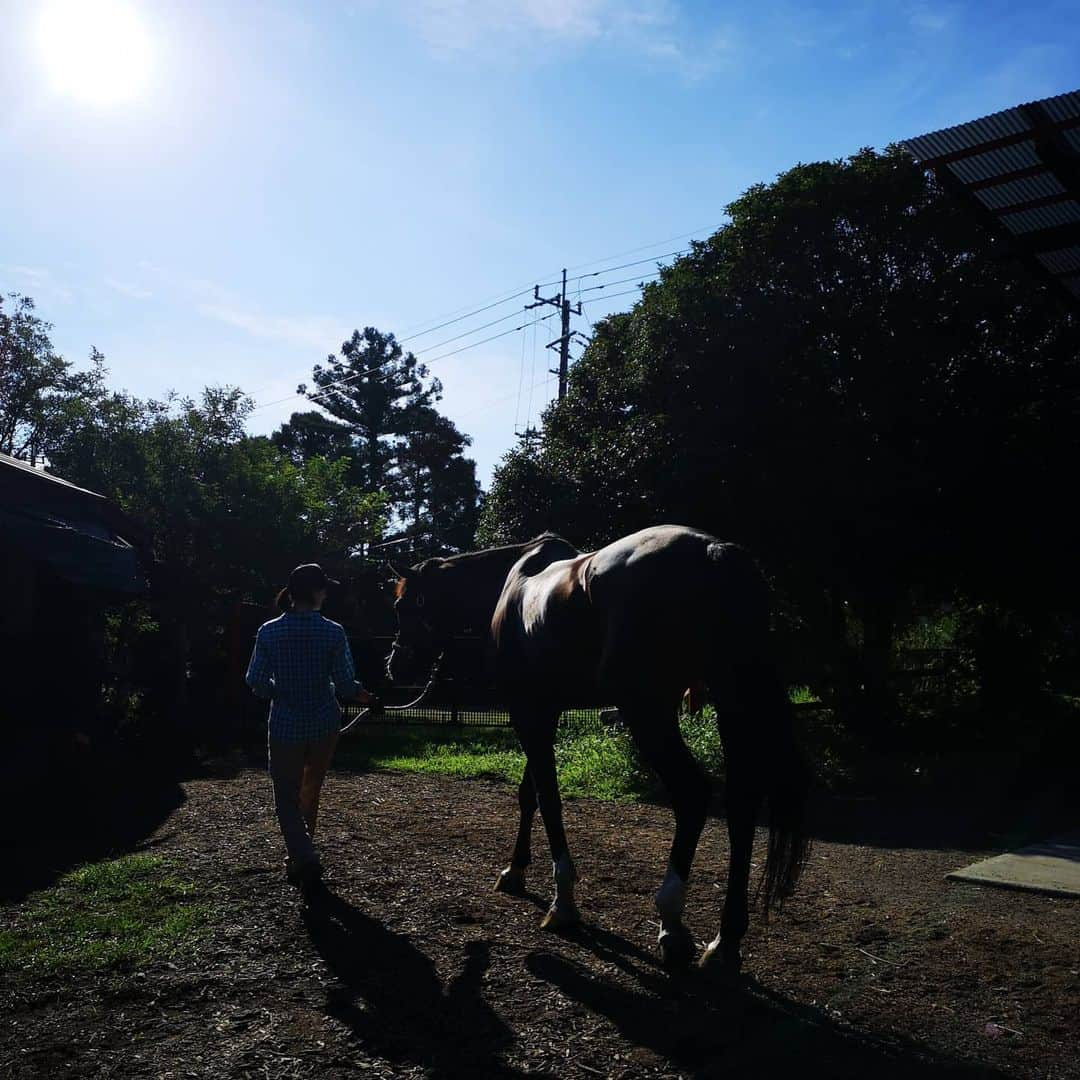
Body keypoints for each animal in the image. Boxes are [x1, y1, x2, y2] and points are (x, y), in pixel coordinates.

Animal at [388, 522, 812, 972]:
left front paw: (562, 901)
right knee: (741, 807)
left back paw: (671, 922)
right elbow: (529, 794)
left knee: (693, 794)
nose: (395, 666)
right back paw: (725, 941)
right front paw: (516, 870)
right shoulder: (546, 709)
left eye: (402, 606)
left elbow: (549, 799)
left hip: (647, 711)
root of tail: (713, 551)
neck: (515, 584)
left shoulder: (527, 711)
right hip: (732, 703)